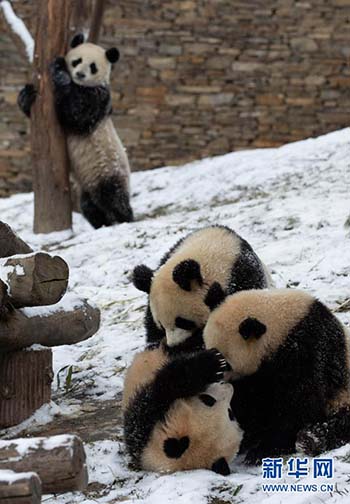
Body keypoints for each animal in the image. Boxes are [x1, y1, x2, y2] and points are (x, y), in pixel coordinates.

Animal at [17, 32, 133, 228]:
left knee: (114, 198)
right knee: (89, 206)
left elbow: (75, 116)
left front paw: (59, 70)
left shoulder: (97, 98)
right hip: (88, 184)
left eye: (93, 67)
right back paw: (102, 223)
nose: (79, 74)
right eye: (77, 60)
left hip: (109, 170)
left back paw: (124, 219)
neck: (80, 85)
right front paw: (26, 96)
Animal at [121, 340, 242, 474]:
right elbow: (165, 388)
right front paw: (212, 362)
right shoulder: (141, 430)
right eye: (208, 399)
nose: (229, 387)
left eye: (231, 413)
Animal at [201, 286, 350, 462]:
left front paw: (263, 450)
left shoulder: (307, 351)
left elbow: (300, 403)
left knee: (339, 424)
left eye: (227, 364)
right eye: (208, 350)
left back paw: (311, 439)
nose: (216, 383)